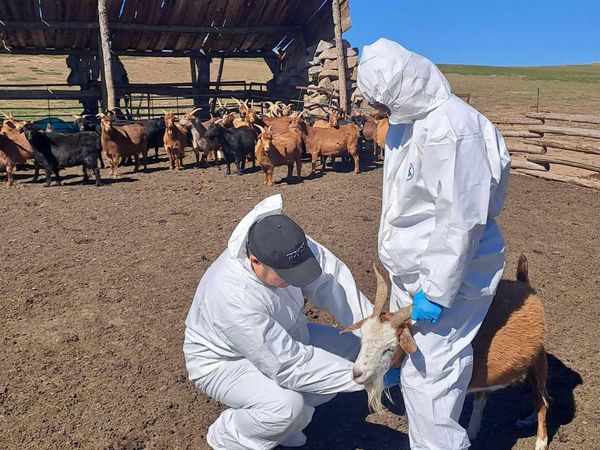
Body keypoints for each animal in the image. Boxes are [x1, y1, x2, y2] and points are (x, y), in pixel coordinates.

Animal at [344, 256, 552, 450]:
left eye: (390, 348)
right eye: (362, 339)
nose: (357, 373)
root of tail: (525, 285)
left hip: (538, 361)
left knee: (543, 401)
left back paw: (540, 441)